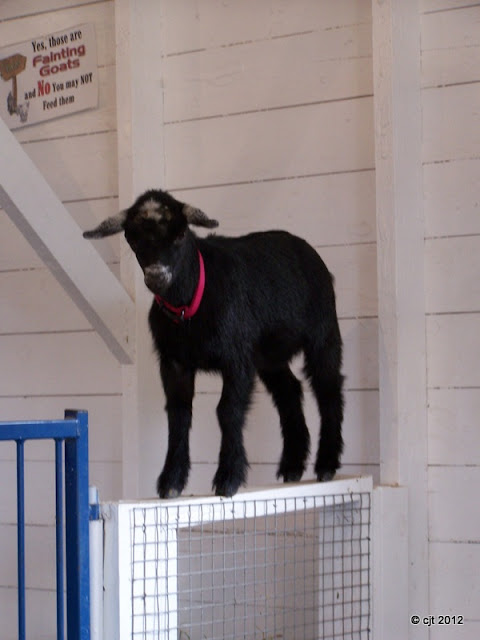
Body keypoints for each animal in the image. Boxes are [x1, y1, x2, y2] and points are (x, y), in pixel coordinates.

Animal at [83, 189, 344, 498]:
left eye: (181, 233)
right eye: (132, 239)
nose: (157, 275)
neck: (190, 306)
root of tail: (307, 251)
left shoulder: (237, 357)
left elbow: (227, 410)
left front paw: (228, 477)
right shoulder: (174, 362)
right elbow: (178, 415)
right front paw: (171, 481)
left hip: (324, 332)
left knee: (328, 389)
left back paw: (326, 464)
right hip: (269, 356)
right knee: (289, 390)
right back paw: (292, 465)